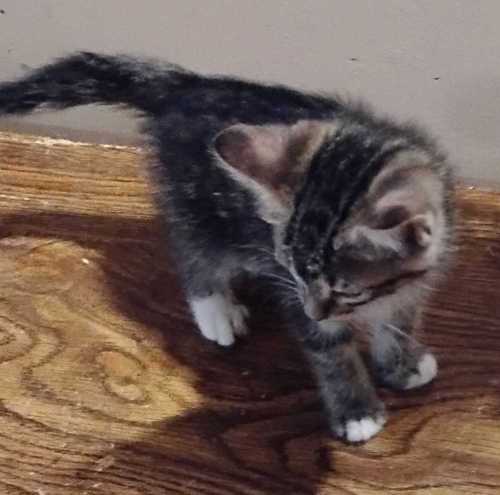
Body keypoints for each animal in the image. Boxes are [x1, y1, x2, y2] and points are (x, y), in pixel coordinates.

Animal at [0, 52, 455, 443]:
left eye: (347, 289)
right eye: (292, 271)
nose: (314, 310)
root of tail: (186, 87)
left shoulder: (414, 282)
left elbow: (399, 322)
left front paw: (403, 364)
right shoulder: (295, 295)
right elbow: (329, 350)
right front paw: (356, 411)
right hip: (196, 211)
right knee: (194, 254)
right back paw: (215, 309)